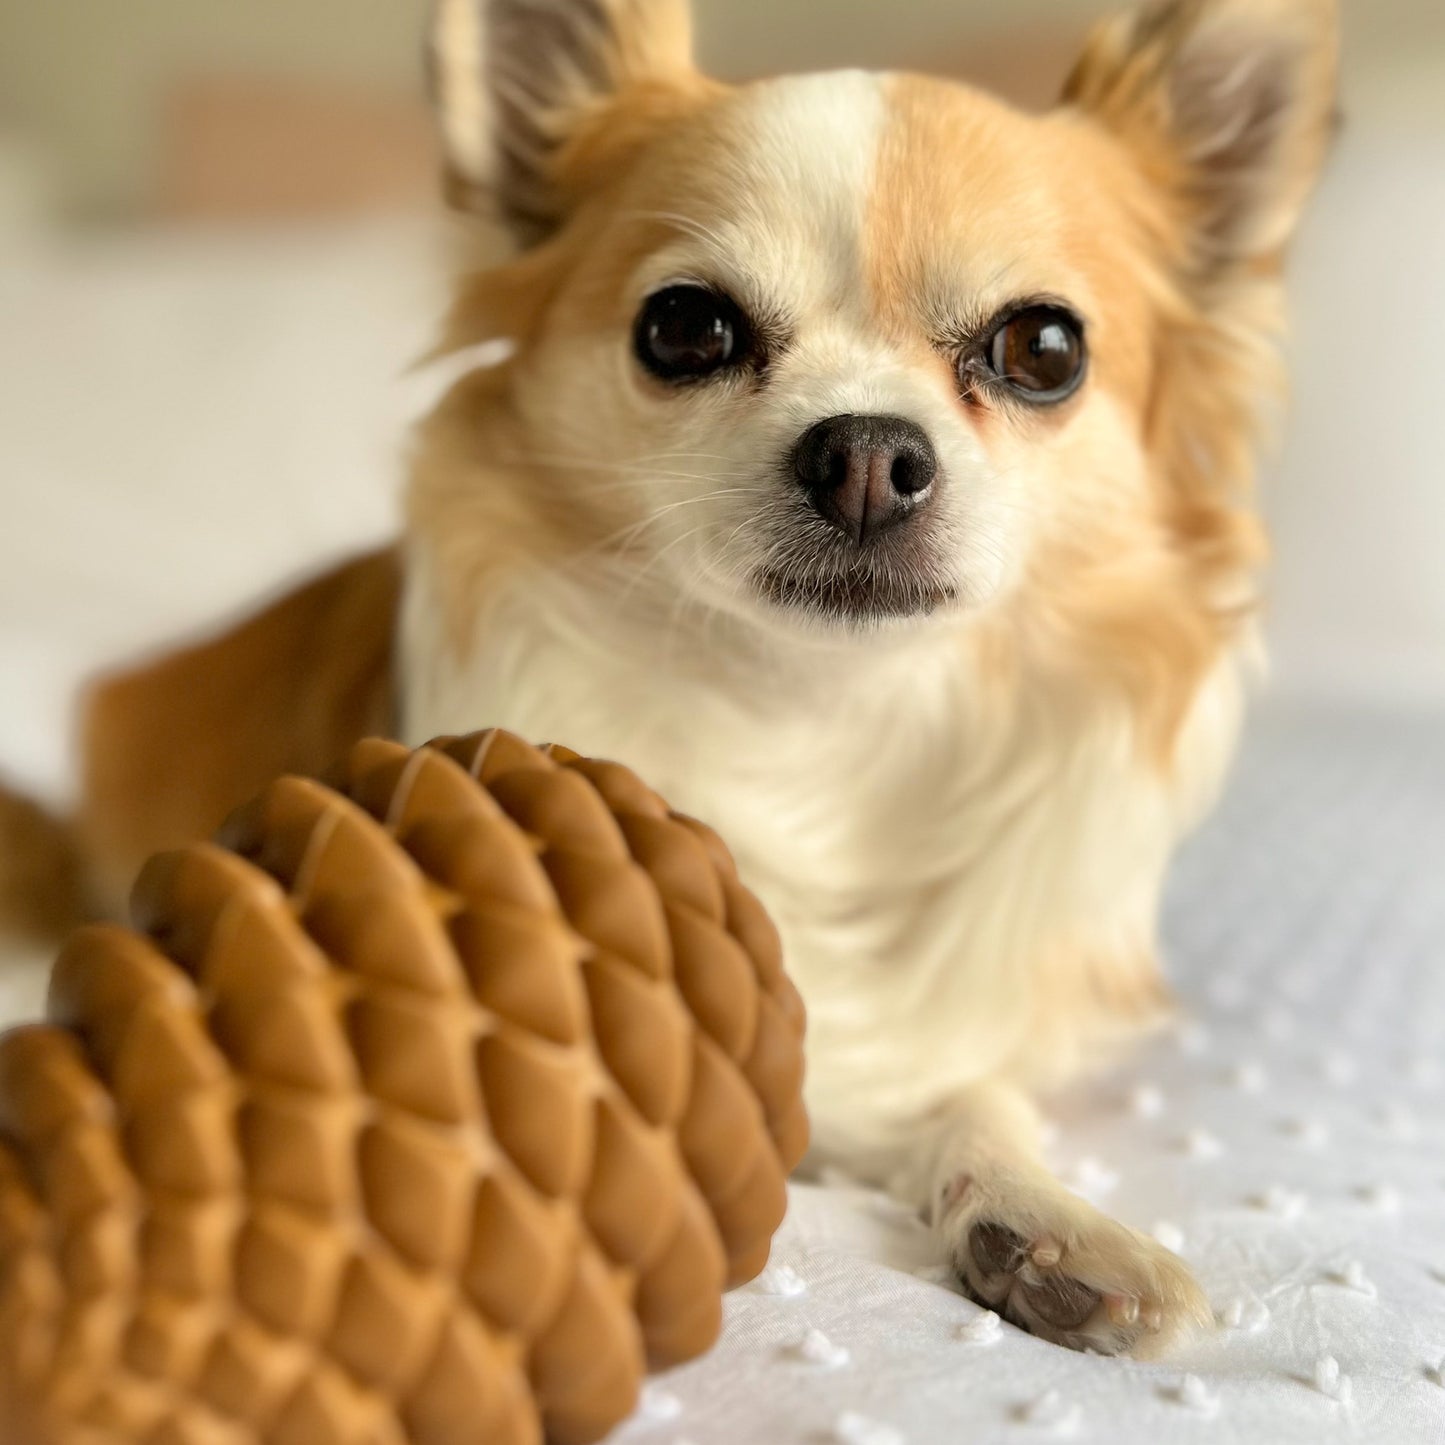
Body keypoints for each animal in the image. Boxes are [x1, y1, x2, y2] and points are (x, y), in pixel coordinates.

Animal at [14, 0, 1340, 1352]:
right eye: (687, 327)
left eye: (1042, 348)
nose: (866, 451)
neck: (811, 719)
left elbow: (970, 1093)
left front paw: (1042, 1212)